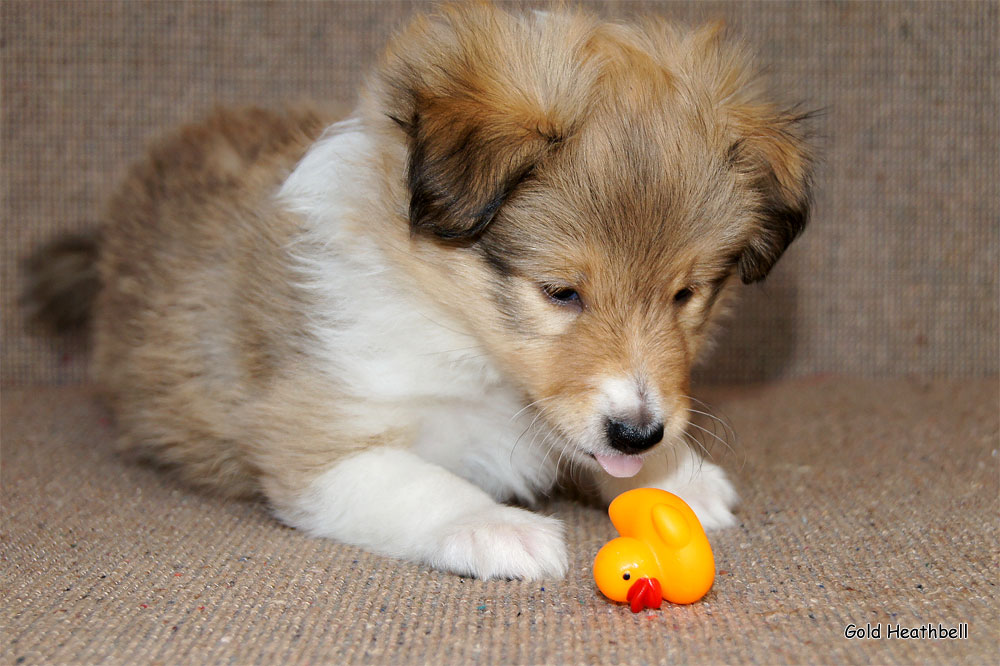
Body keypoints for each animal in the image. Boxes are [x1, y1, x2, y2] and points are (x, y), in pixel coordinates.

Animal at [25, 3, 812, 576]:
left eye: (686, 295)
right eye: (560, 292)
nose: (640, 433)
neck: (460, 331)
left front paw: (676, 478)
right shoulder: (318, 436)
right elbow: (425, 483)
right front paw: (498, 528)